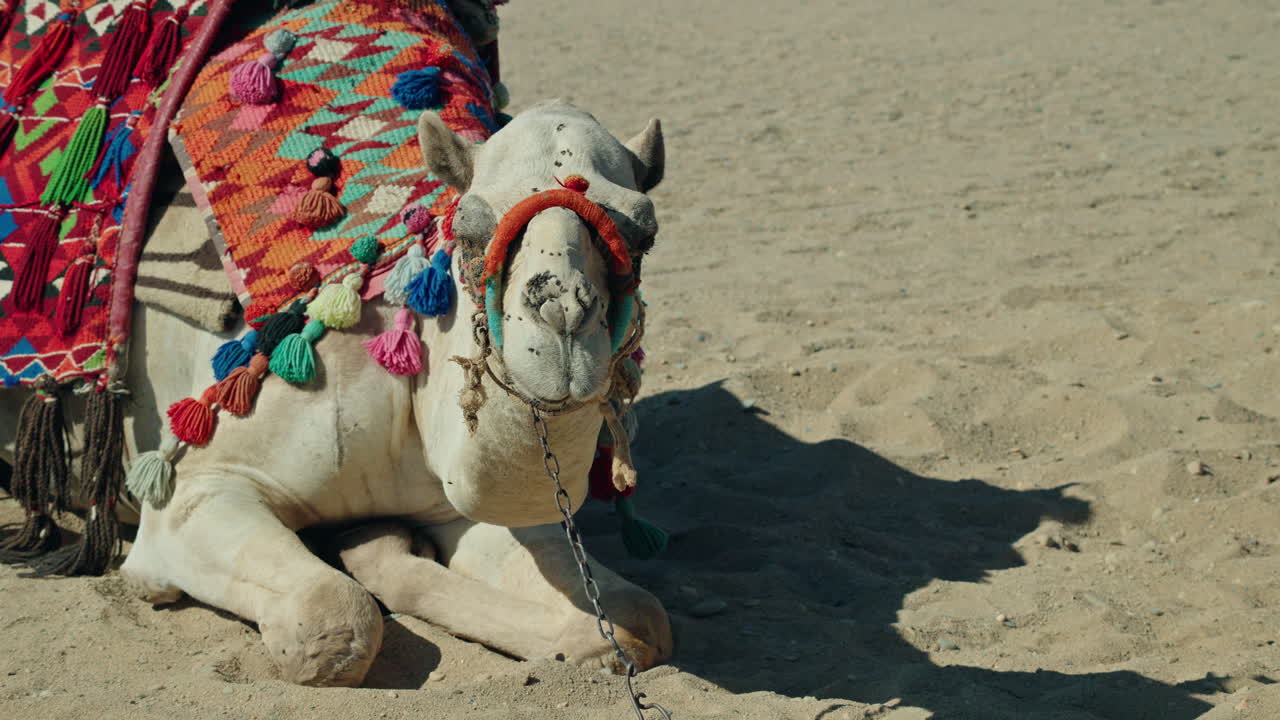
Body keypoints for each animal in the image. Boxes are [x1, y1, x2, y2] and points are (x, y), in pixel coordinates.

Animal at [0, 100, 672, 687]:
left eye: (643, 232)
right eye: (469, 226)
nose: (563, 314)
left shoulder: (448, 502)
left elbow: (637, 620)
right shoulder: (193, 489)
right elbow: (330, 620)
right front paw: (152, 585)